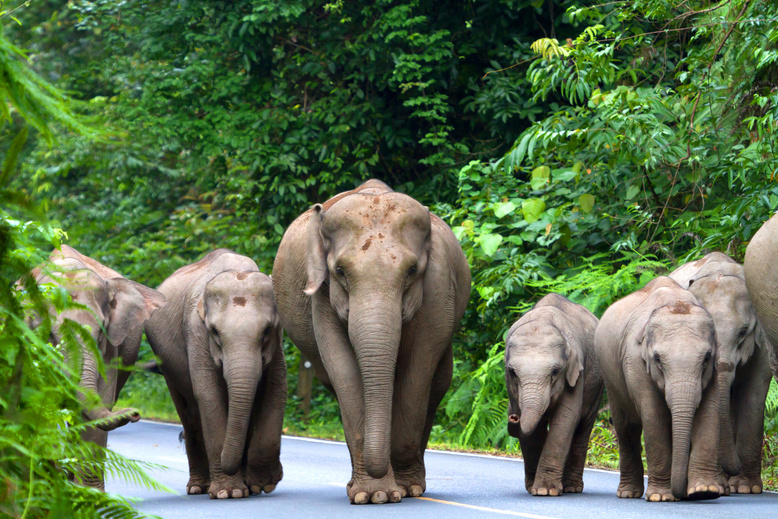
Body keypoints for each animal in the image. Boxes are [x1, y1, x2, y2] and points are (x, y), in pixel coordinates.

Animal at [30, 245, 166, 489]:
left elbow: (99, 404)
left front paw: (89, 494)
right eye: (51, 335)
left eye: (101, 332)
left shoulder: (111, 348)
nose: (135, 413)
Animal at [144, 249, 286, 499]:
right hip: (167, 367)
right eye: (215, 332)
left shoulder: (277, 343)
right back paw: (199, 487)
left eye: (267, 331)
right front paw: (229, 493)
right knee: (189, 415)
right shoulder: (195, 332)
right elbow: (208, 395)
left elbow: (276, 390)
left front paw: (262, 484)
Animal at [272, 179, 471, 504]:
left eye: (412, 271)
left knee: (438, 383)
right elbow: (343, 371)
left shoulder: (439, 288)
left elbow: (418, 370)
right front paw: (373, 494)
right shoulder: (322, 298)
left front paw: (403, 490)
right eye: (340, 271)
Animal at [504, 293, 603, 496]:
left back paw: (572, 487)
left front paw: (545, 491)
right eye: (512, 372)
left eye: (556, 371)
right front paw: (535, 489)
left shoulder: (576, 372)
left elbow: (565, 419)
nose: (513, 417)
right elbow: (533, 430)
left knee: (583, 428)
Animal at [594, 276, 724, 502]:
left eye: (706, 358)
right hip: (611, 379)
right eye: (657, 359)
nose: (684, 496)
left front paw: (704, 491)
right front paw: (661, 497)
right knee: (626, 429)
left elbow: (709, 413)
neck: (676, 301)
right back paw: (628, 493)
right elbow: (654, 416)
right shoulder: (634, 361)